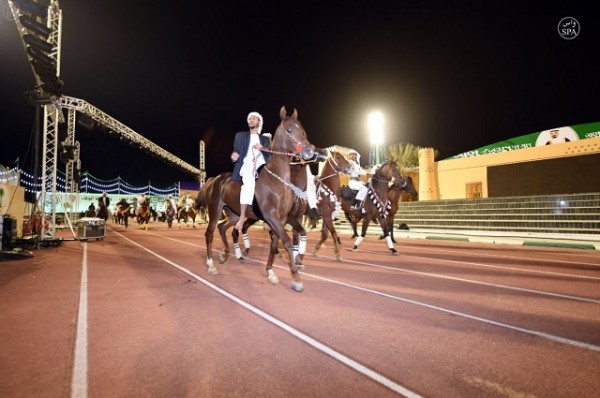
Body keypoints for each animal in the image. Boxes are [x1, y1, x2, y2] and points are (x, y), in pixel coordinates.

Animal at [203, 107, 316, 290]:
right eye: (289, 130)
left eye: (302, 130)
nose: (309, 150)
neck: (277, 180)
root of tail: (214, 180)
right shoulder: (272, 217)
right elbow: (286, 242)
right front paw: (296, 277)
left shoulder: (281, 219)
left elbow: (274, 244)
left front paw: (270, 272)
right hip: (215, 210)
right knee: (209, 233)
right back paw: (211, 264)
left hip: (234, 214)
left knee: (223, 228)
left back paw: (225, 255)